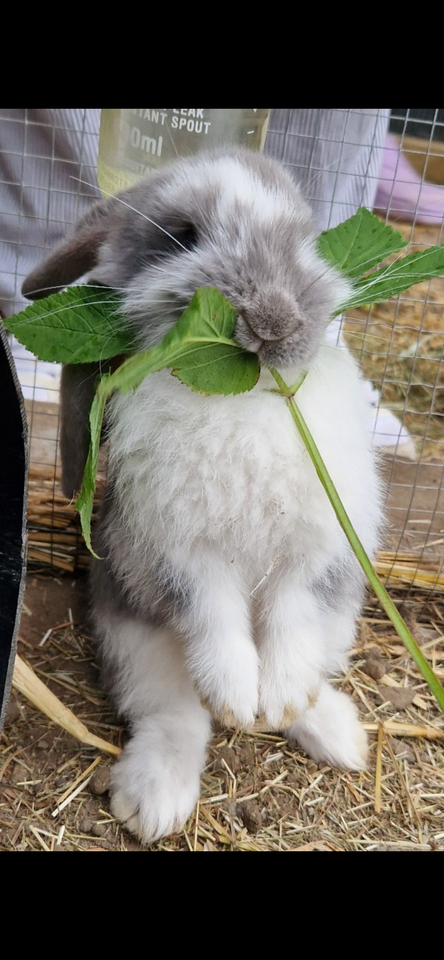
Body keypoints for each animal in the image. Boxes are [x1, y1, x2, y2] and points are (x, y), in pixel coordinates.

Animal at [21, 146, 382, 844]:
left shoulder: (315, 551)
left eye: (304, 238)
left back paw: (333, 731)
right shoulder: (179, 554)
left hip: (340, 619)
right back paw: (156, 799)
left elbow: (291, 616)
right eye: (183, 238)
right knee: (174, 717)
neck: (248, 397)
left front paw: (278, 695)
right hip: (135, 643)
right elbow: (214, 617)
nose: (276, 318)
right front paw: (240, 697)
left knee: (312, 668)